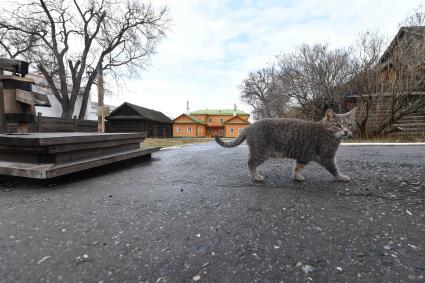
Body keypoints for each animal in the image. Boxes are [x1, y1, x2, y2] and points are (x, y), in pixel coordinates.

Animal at [214, 107, 356, 183]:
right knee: (250, 163)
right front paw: (341, 177)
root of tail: (249, 126)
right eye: (338, 125)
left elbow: (298, 167)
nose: (346, 131)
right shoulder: (327, 157)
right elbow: (334, 169)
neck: (328, 132)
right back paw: (256, 177)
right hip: (261, 152)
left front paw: (297, 177)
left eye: (350, 125)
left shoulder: (303, 156)